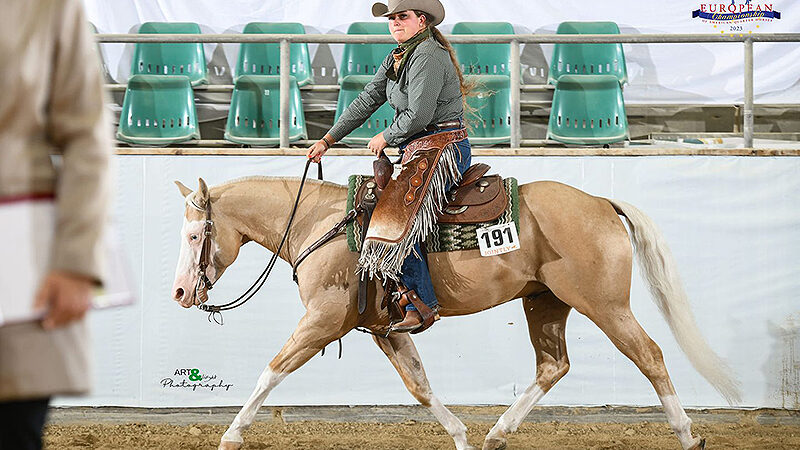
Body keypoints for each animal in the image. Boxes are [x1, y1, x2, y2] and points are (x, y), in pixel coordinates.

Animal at [172, 176, 740, 450]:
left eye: (197, 235)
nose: (179, 292)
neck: (321, 222)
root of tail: (600, 202)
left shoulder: (323, 321)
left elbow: (271, 371)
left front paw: (231, 435)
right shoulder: (384, 329)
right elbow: (420, 386)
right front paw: (463, 437)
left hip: (605, 305)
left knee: (650, 355)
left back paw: (688, 434)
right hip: (545, 302)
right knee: (553, 365)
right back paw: (496, 434)